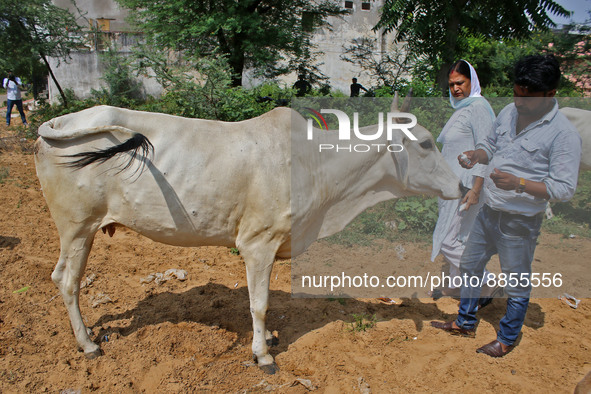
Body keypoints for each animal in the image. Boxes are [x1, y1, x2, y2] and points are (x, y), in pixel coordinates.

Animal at [34, 101, 462, 372]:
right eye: (425, 144)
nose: (461, 184)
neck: (318, 166)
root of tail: (58, 124)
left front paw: (268, 340)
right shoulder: (258, 244)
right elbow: (259, 304)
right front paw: (263, 355)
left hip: (82, 231)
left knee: (59, 277)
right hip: (76, 227)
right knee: (68, 281)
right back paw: (88, 345)